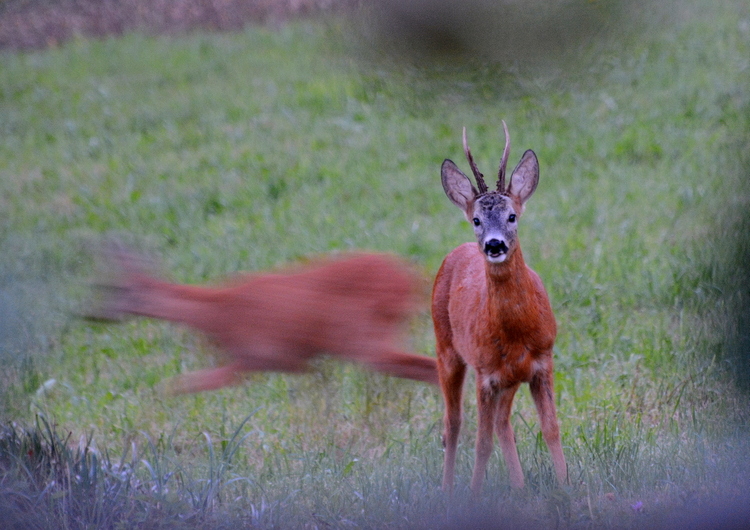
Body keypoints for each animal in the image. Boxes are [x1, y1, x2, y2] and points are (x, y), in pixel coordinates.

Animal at [90, 245, 438, 390]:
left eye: (117, 289)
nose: (95, 315)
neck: (216, 312)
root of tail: (412, 278)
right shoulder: (287, 363)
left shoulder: (261, 355)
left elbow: (182, 385)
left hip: (366, 337)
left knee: (429, 367)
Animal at [434, 122, 568, 490]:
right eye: (477, 220)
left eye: (512, 216)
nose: (495, 245)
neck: (517, 332)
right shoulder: (486, 374)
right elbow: (481, 443)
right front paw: (473, 495)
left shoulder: (542, 362)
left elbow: (552, 429)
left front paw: (568, 487)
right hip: (446, 349)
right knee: (453, 423)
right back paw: (447, 490)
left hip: (510, 380)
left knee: (502, 422)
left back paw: (519, 487)